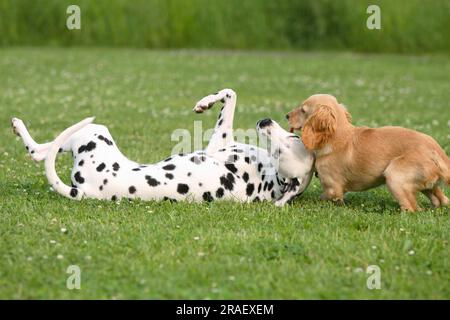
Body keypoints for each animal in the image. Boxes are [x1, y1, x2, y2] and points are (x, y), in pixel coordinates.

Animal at [286, 94, 448, 212]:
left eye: (303, 110)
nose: (286, 116)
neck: (337, 136)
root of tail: (438, 152)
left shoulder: (333, 189)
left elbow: (322, 198)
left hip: (395, 176)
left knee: (414, 208)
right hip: (426, 185)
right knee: (442, 200)